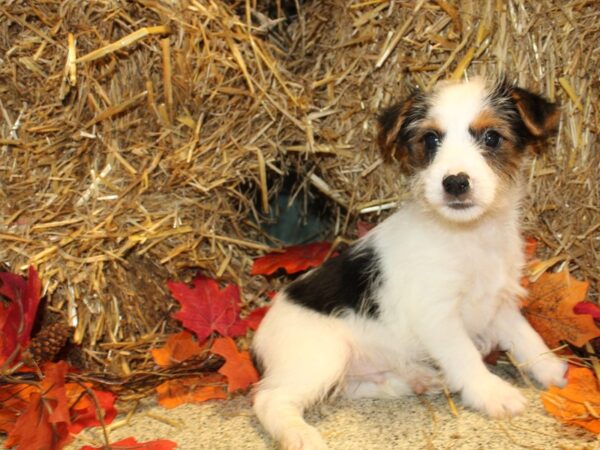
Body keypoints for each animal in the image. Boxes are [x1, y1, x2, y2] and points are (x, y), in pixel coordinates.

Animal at [252, 79, 568, 448]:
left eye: (491, 137)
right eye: (430, 139)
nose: (455, 182)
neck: (468, 234)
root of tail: (258, 338)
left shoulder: (500, 303)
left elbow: (527, 338)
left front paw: (553, 371)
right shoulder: (438, 316)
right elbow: (466, 356)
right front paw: (493, 393)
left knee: (354, 387)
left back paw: (420, 378)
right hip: (320, 358)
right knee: (269, 399)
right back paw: (300, 434)